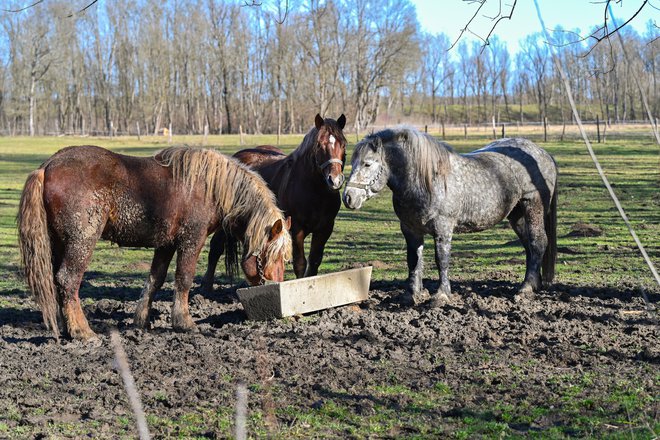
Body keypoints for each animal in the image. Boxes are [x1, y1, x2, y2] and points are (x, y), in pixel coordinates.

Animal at [17, 144, 292, 340]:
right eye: (272, 255)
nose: (277, 285)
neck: (207, 185)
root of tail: (47, 167)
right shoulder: (191, 240)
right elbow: (183, 279)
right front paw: (184, 322)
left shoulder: (166, 244)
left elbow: (155, 279)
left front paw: (142, 321)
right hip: (81, 242)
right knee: (68, 280)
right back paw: (83, 332)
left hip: (59, 244)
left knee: (58, 283)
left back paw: (67, 328)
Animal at [201, 113, 346, 290]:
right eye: (319, 145)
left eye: (343, 144)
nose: (335, 180)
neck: (315, 192)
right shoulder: (296, 229)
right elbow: (300, 263)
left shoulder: (324, 229)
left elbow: (314, 261)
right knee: (215, 247)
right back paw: (206, 286)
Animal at [346, 127, 556, 306]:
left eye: (367, 163)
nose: (348, 197)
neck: (426, 180)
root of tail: (544, 154)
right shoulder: (410, 229)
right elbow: (413, 260)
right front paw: (411, 294)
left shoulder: (443, 227)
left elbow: (442, 259)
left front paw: (441, 295)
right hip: (516, 215)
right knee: (529, 246)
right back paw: (533, 284)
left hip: (532, 206)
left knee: (538, 242)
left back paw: (526, 289)